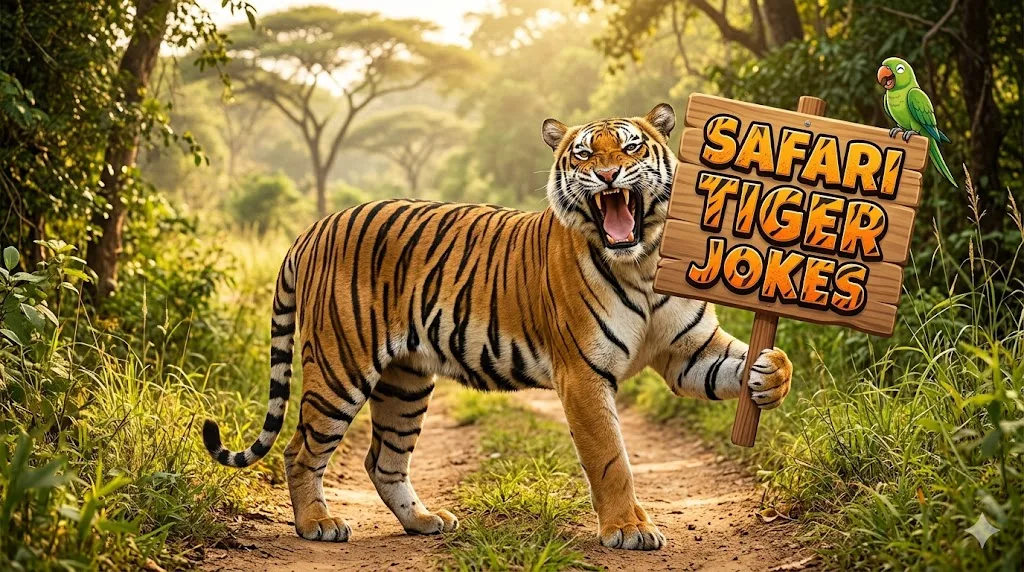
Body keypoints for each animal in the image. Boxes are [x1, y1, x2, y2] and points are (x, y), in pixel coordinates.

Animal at [202, 103, 793, 551]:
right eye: (584, 154)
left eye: (630, 149)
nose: (606, 176)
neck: (643, 260)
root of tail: (316, 225)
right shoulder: (583, 374)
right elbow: (611, 458)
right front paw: (628, 530)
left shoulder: (689, 352)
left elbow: (750, 363)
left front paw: (769, 375)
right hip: (339, 367)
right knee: (301, 450)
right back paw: (317, 525)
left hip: (406, 381)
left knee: (383, 459)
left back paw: (423, 521)